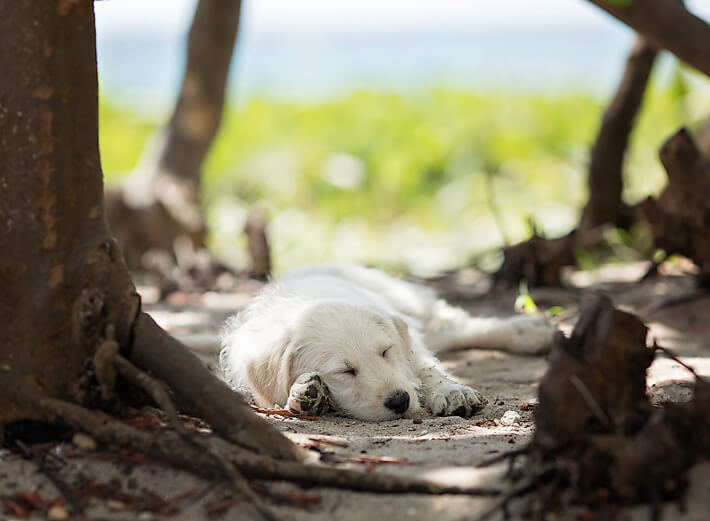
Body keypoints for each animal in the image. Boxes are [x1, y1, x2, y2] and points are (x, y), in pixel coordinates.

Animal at [220, 266, 560, 420]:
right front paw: (307, 394)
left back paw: (529, 331)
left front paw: (453, 391)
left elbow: (426, 367)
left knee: (452, 319)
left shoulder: (406, 347)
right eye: (345, 372)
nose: (400, 401)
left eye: (385, 352)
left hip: (406, 299)